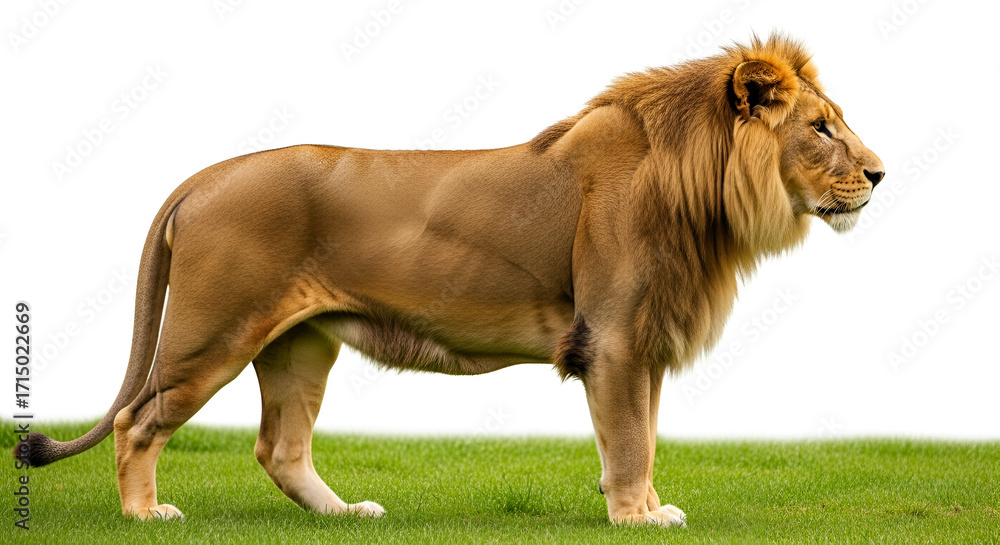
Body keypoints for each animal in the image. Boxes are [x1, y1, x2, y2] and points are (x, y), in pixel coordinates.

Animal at [16, 34, 883, 526]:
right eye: (821, 127)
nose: (880, 173)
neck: (701, 195)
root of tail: (202, 175)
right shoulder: (613, 341)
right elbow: (632, 441)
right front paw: (639, 517)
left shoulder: (644, 346)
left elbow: (644, 436)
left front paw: (642, 507)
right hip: (212, 332)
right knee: (139, 421)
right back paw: (145, 512)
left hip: (301, 343)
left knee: (280, 447)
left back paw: (347, 513)